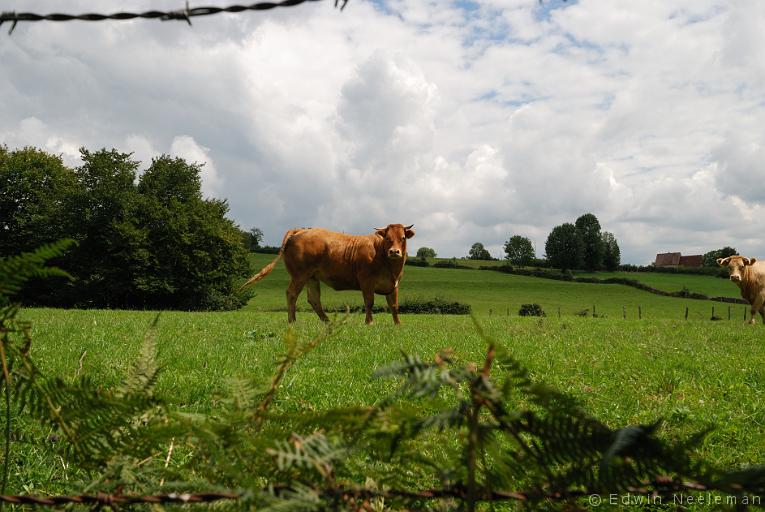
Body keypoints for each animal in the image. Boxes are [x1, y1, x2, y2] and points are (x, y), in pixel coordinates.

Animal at [242, 223, 414, 324]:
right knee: (292, 293)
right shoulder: (366, 282)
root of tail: (301, 230)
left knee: (314, 299)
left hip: (311, 277)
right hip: (299, 275)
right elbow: (369, 302)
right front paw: (369, 323)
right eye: (387, 238)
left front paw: (397, 324)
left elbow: (394, 305)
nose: (394, 252)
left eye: (403, 237)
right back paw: (292, 321)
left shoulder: (393, 284)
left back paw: (327, 321)